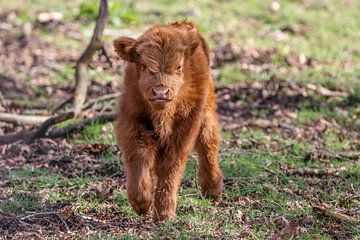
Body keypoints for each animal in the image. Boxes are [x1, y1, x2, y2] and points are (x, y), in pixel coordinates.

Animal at [114, 21, 224, 220]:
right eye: (143, 66)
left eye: (178, 67)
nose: (160, 92)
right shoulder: (132, 122)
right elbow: (139, 156)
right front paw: (141, 202)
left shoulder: (185, 128)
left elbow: (171, 166)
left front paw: (165, 212)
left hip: (207, 112)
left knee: (208, 144)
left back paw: (213, 187)